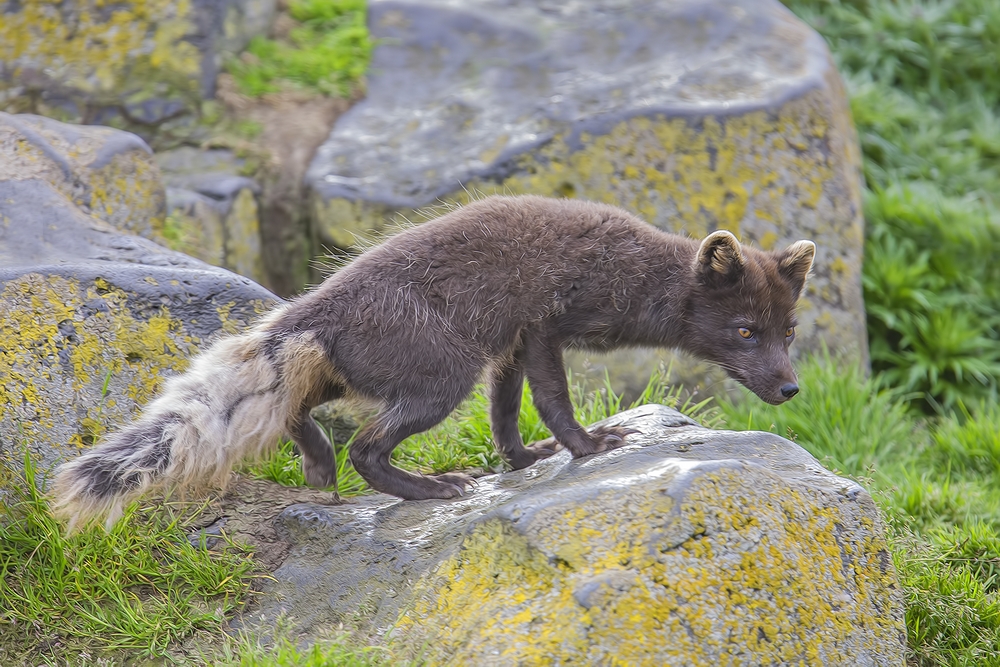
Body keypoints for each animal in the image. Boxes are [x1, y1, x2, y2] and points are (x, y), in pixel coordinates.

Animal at [52, 194, 812, 532]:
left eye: (789, 330)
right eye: (745, 331)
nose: (789, 388)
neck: (638, 273)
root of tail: (311, 312)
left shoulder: (510, 344)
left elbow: (506, 412)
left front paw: (522, 460)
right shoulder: (544, 327)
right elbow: (553, 400)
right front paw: (590, 446)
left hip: (366, 375)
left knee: (299, 411)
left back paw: (317, 465)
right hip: (443, 379)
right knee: (365, 446)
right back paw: (432, 488)